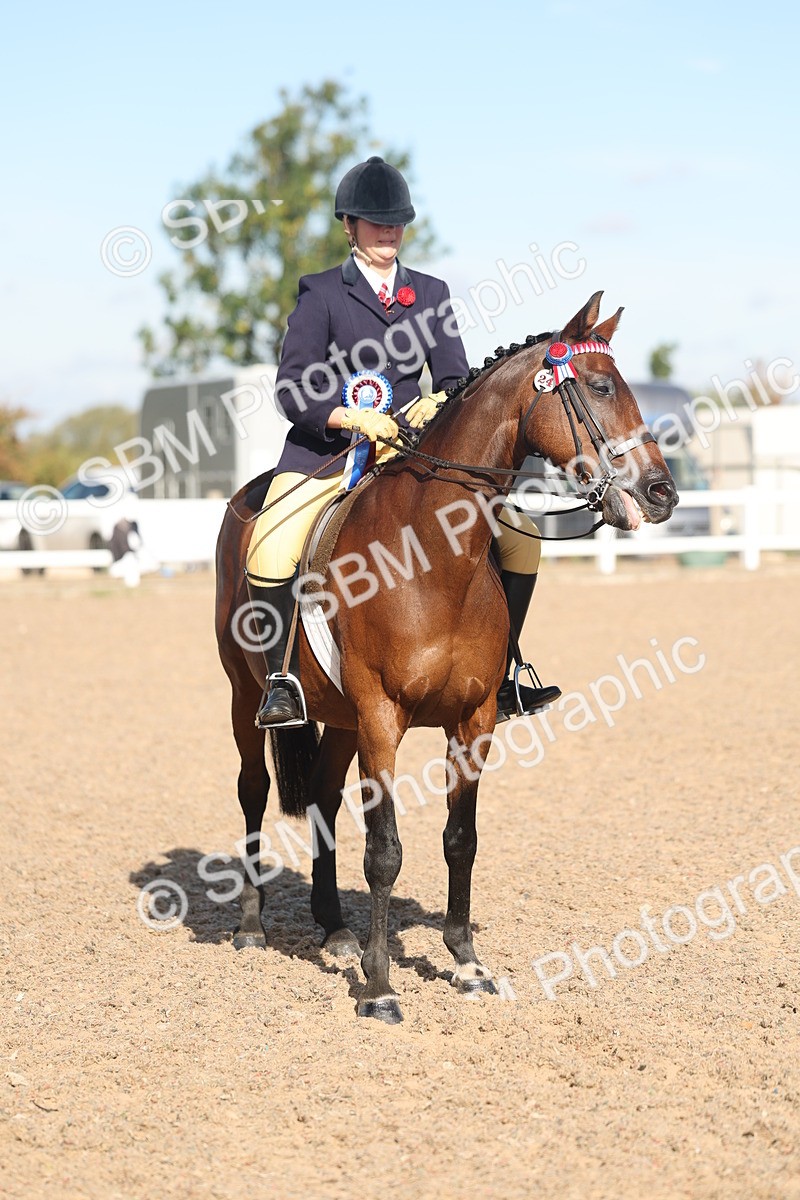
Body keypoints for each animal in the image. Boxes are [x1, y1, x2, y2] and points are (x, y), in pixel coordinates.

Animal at [214, 291, 678, 1024]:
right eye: (601, 387)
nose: (663, 493)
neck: (432, 557)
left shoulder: (474, 718)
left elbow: (462, 838)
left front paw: (465, 961)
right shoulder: (382, 718)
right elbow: (384, 851)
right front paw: (379, 988)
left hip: (339, 718)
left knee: (321, 797)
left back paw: (335, 929)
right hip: (245, 695)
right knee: (253, 789)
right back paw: (252, 926)